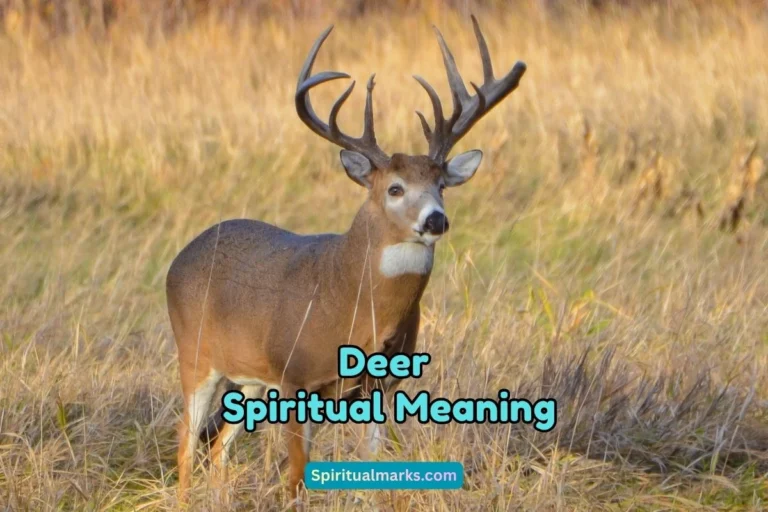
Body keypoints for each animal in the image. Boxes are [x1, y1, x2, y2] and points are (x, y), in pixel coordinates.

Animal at [166, 15, 526, 507]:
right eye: (394, 188)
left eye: (442, 185)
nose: (435, 219)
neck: (353, 304)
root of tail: (180, 257)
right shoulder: (296, 376)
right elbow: (297, 475)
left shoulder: (382, 386)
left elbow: (374, 462)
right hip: (195, 354)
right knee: (185, 443)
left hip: (251, 380)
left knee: (218, 449)